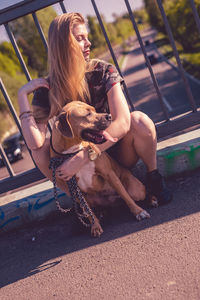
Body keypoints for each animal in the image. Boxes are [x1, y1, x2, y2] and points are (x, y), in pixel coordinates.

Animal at [50, 101, 150, 237]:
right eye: (88, 114)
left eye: (94, 109)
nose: (109, 116)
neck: (73, 152)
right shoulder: (75, 189)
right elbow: (88, 211)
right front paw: (95, 226)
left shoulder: (108, 174)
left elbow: (125, 196)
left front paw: (138, 211)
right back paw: (100, 213)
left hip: (135, 189)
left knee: (136, 193)